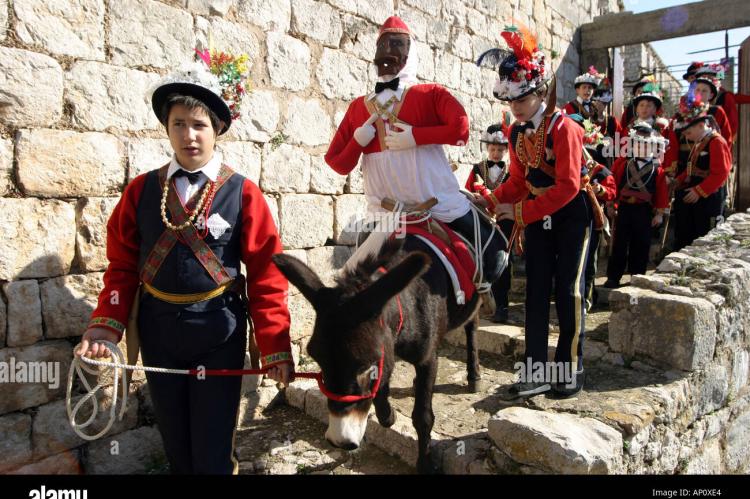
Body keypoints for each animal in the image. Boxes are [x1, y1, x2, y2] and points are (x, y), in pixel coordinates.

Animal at [272, 235, 483, 474]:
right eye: (319, 360)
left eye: (365, 366)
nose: (339, 441)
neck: (406, 304)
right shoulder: (387, 350)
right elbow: (381, 392)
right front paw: (389, 416)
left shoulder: (427, 360)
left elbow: (422, 417)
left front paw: (425, 463)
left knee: (472, 323)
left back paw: (474, 375)